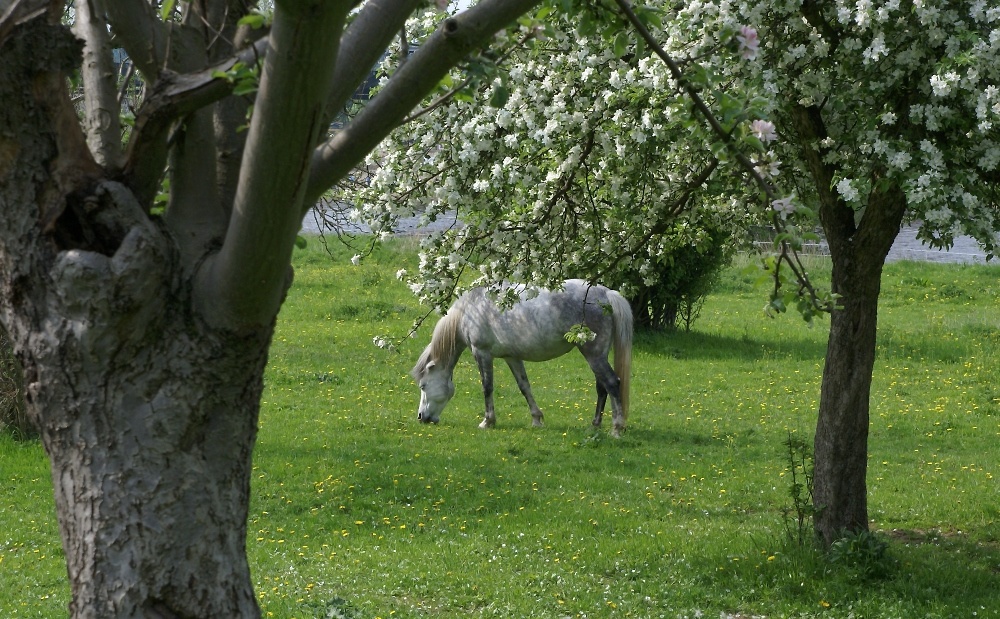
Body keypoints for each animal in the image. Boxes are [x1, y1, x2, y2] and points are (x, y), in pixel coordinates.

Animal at [408, 280, 632, 436]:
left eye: (423, 386)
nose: (421, 417)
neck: (470, 311)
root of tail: (606, 294)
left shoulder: (482, 353)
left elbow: (487, 388)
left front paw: (487, 421)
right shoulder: (512, 358)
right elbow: (524, 387)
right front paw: (537, 419)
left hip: (593, 354)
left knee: (612, 383)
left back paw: (616, 428)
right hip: (598, 355)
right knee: (602, 387)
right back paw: (595, 425)